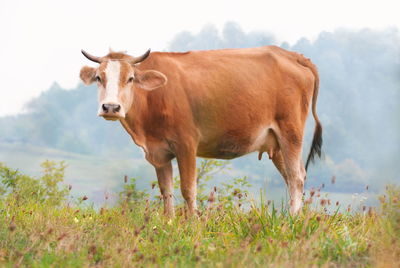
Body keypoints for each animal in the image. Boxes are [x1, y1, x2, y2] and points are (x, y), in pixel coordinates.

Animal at [79, 46, 322, 217]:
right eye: (99, 78)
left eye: (130, 78)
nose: (111, 107)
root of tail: (291, 55)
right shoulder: (159, 152)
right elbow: (166, 190)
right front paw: (169, 222)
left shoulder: (186, 143)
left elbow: (188, 189)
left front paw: (193, 223)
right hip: (277, 143)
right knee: (291, 177)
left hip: (290, 131)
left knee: (296, 177)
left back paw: (292, 220)